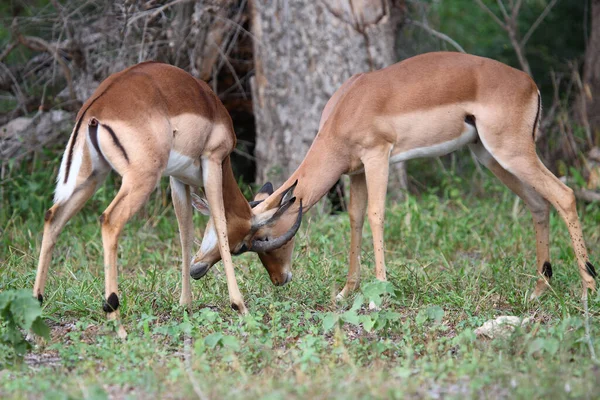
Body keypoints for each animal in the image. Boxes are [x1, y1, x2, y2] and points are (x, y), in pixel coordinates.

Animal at [33, 62, 302, 338]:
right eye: (244, 246)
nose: (280, 279)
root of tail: (95, 109)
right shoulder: (213, 162)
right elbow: (220, 222)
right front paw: (240, 307)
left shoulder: (177, 179)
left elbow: (185, 233)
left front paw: (185, 305)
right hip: (139, 179)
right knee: (109, 221)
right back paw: (118, 325)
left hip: (90, 178)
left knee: (53, 218)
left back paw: (35, 320)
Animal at [196, 51, 596, 308]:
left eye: (261, 239)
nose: (280, 280)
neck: (346, 109)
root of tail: (529, 84)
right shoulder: (356, 170)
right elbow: (355, 219)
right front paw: (346, 293)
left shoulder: (378, 156)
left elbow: (376, 215)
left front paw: (380, 294)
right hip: (490, 157)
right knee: (538, 203)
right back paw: (539, 290)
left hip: (511, 152)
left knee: (564, 194)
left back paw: (587, 290)